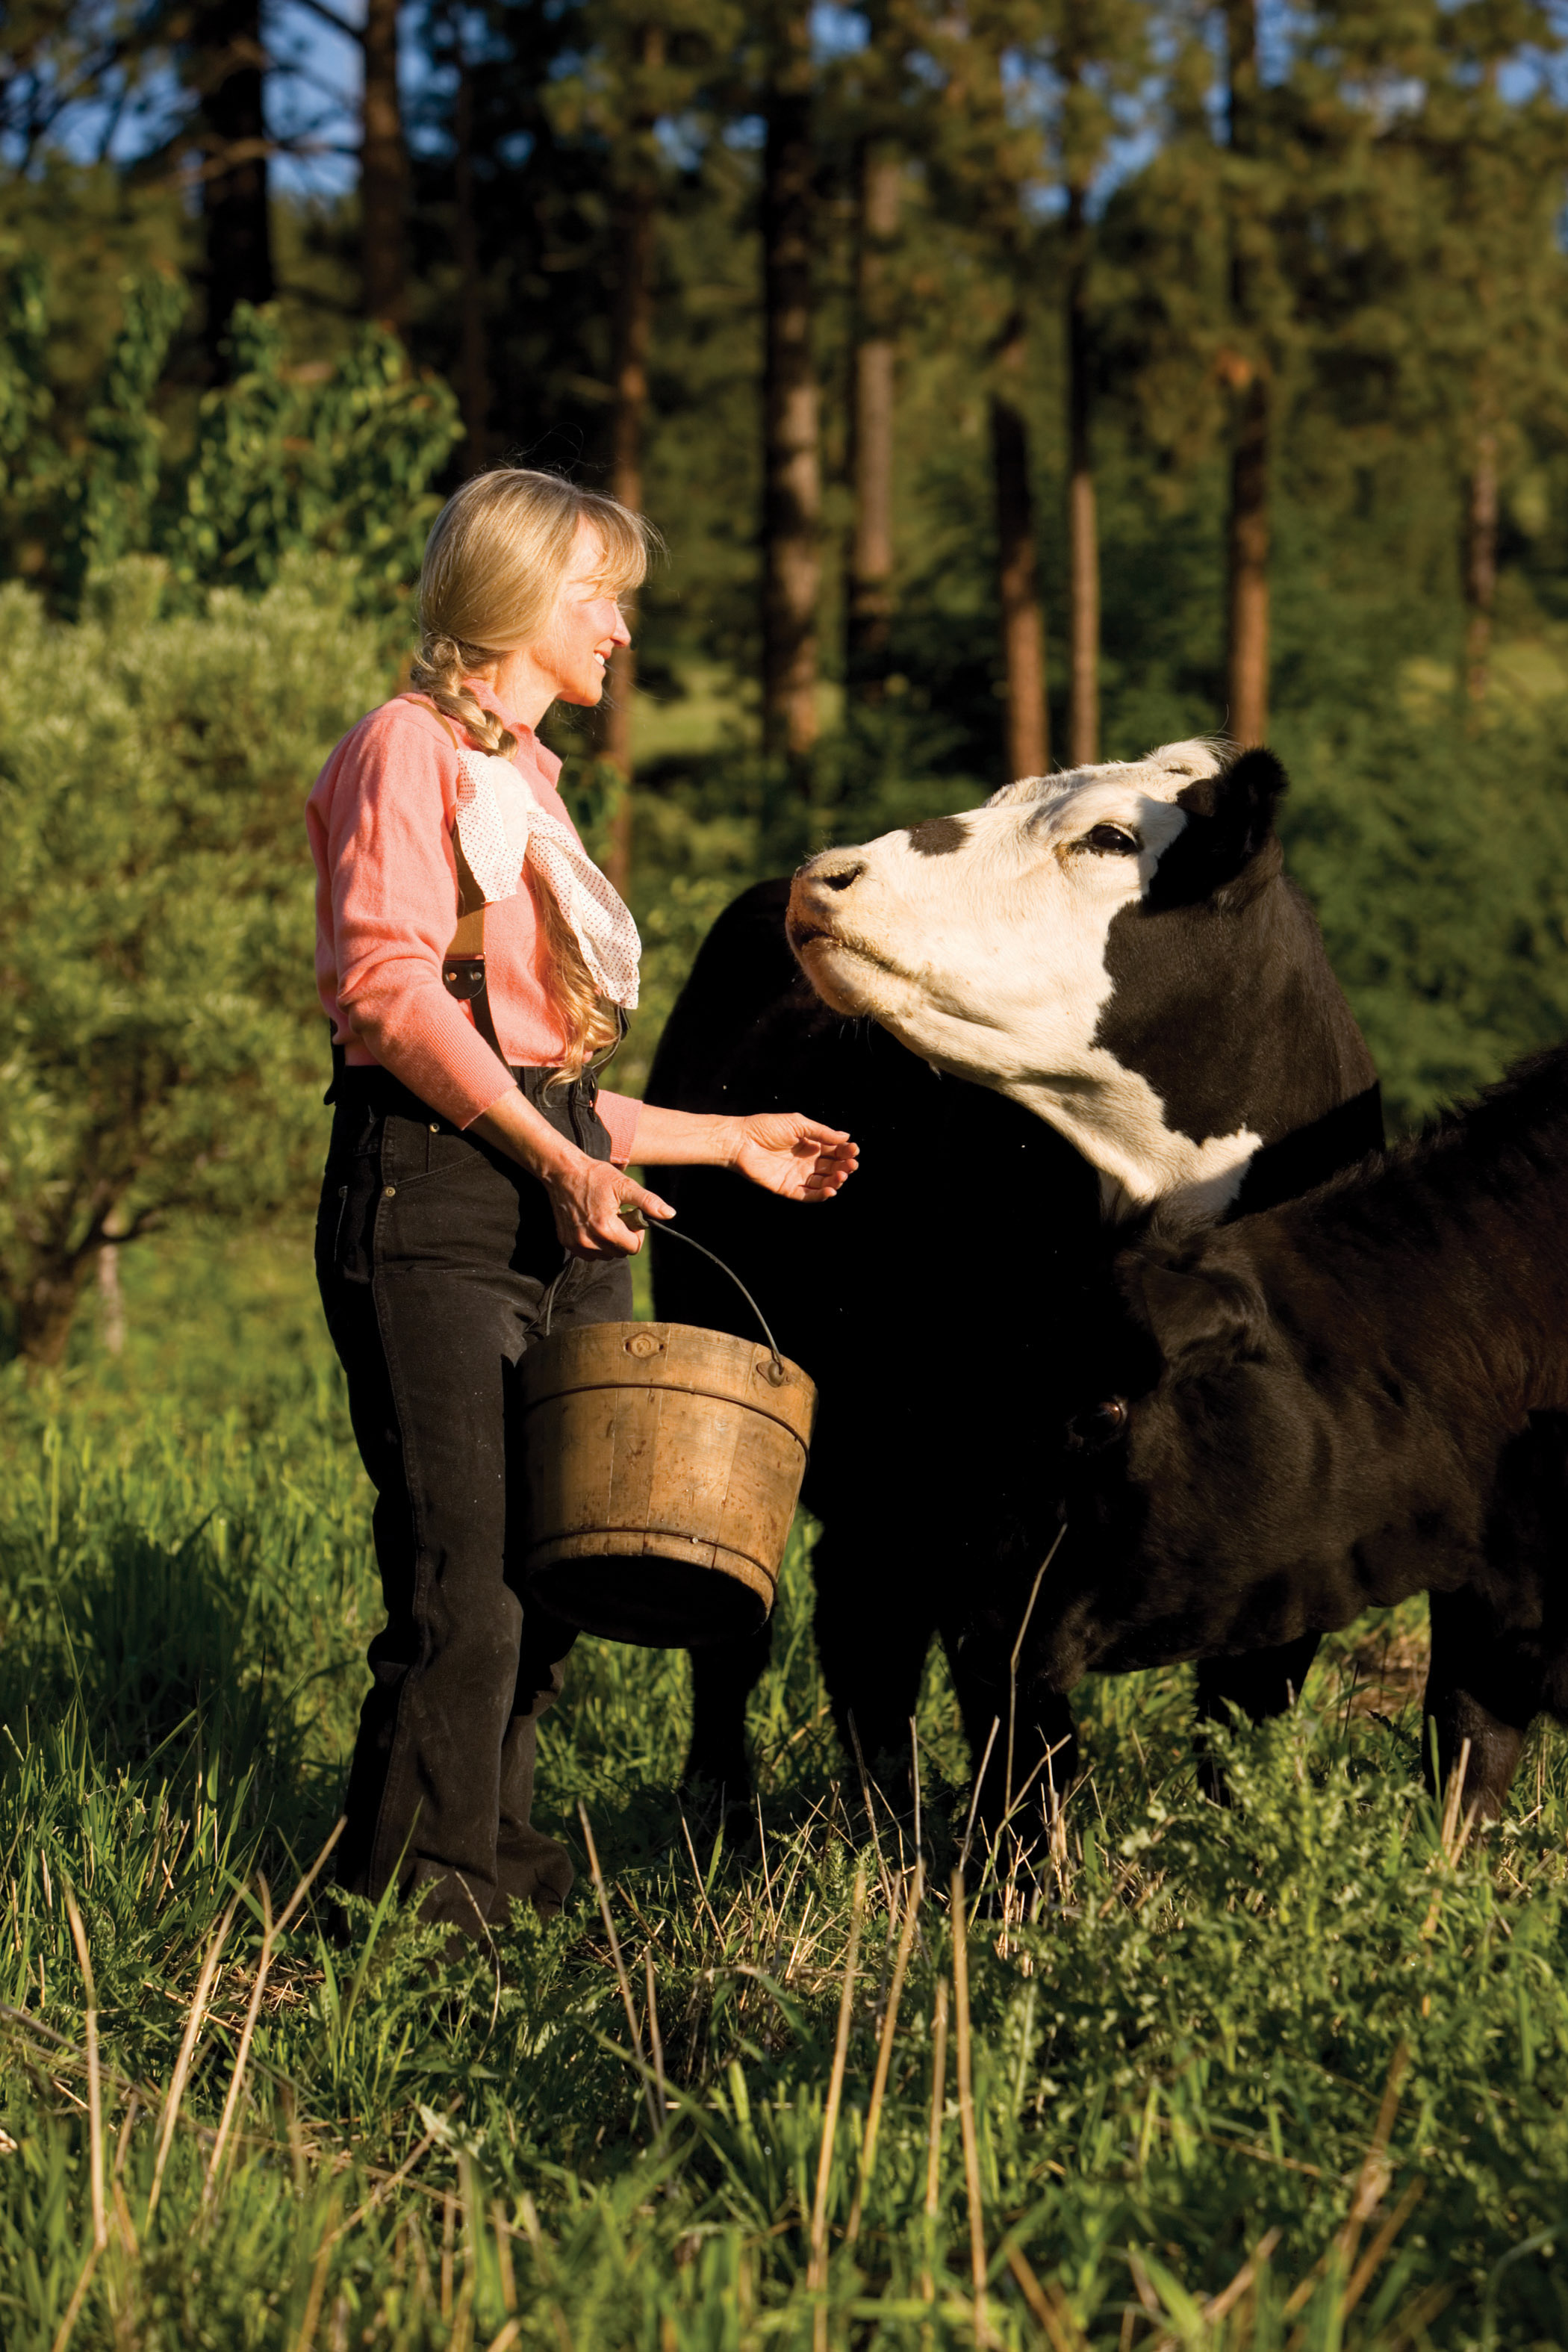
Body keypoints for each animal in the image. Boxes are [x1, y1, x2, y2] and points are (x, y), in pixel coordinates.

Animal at [646, 740, 1383, 1848]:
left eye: (1111, 837)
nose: (828, 875)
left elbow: (1249, 1701)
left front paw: (1237, 1849)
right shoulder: (988, 1495)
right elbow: (1021, 1716)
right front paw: (1021, 1877)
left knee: (863, 1619)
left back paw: (885, 1821)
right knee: (749, 1623)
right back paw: (724, 1806)